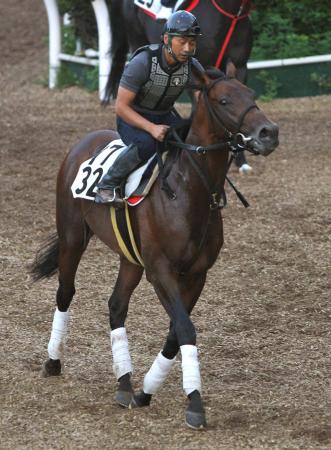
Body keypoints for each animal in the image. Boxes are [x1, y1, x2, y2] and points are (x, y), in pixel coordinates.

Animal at [30, 62, 280, 428]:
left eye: (251, 94)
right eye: (223, 100)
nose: (268, 132)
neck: (189, 192)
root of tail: (83, 142)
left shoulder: (196, 274)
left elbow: (177, 332)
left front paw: (146, 391)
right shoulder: (161, 271)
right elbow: (186, 329)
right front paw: (195, 403)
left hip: (130, 257)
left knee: (116, 305)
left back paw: (124, 381)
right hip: (73, 237)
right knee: (66, 292)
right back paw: (53, 361)